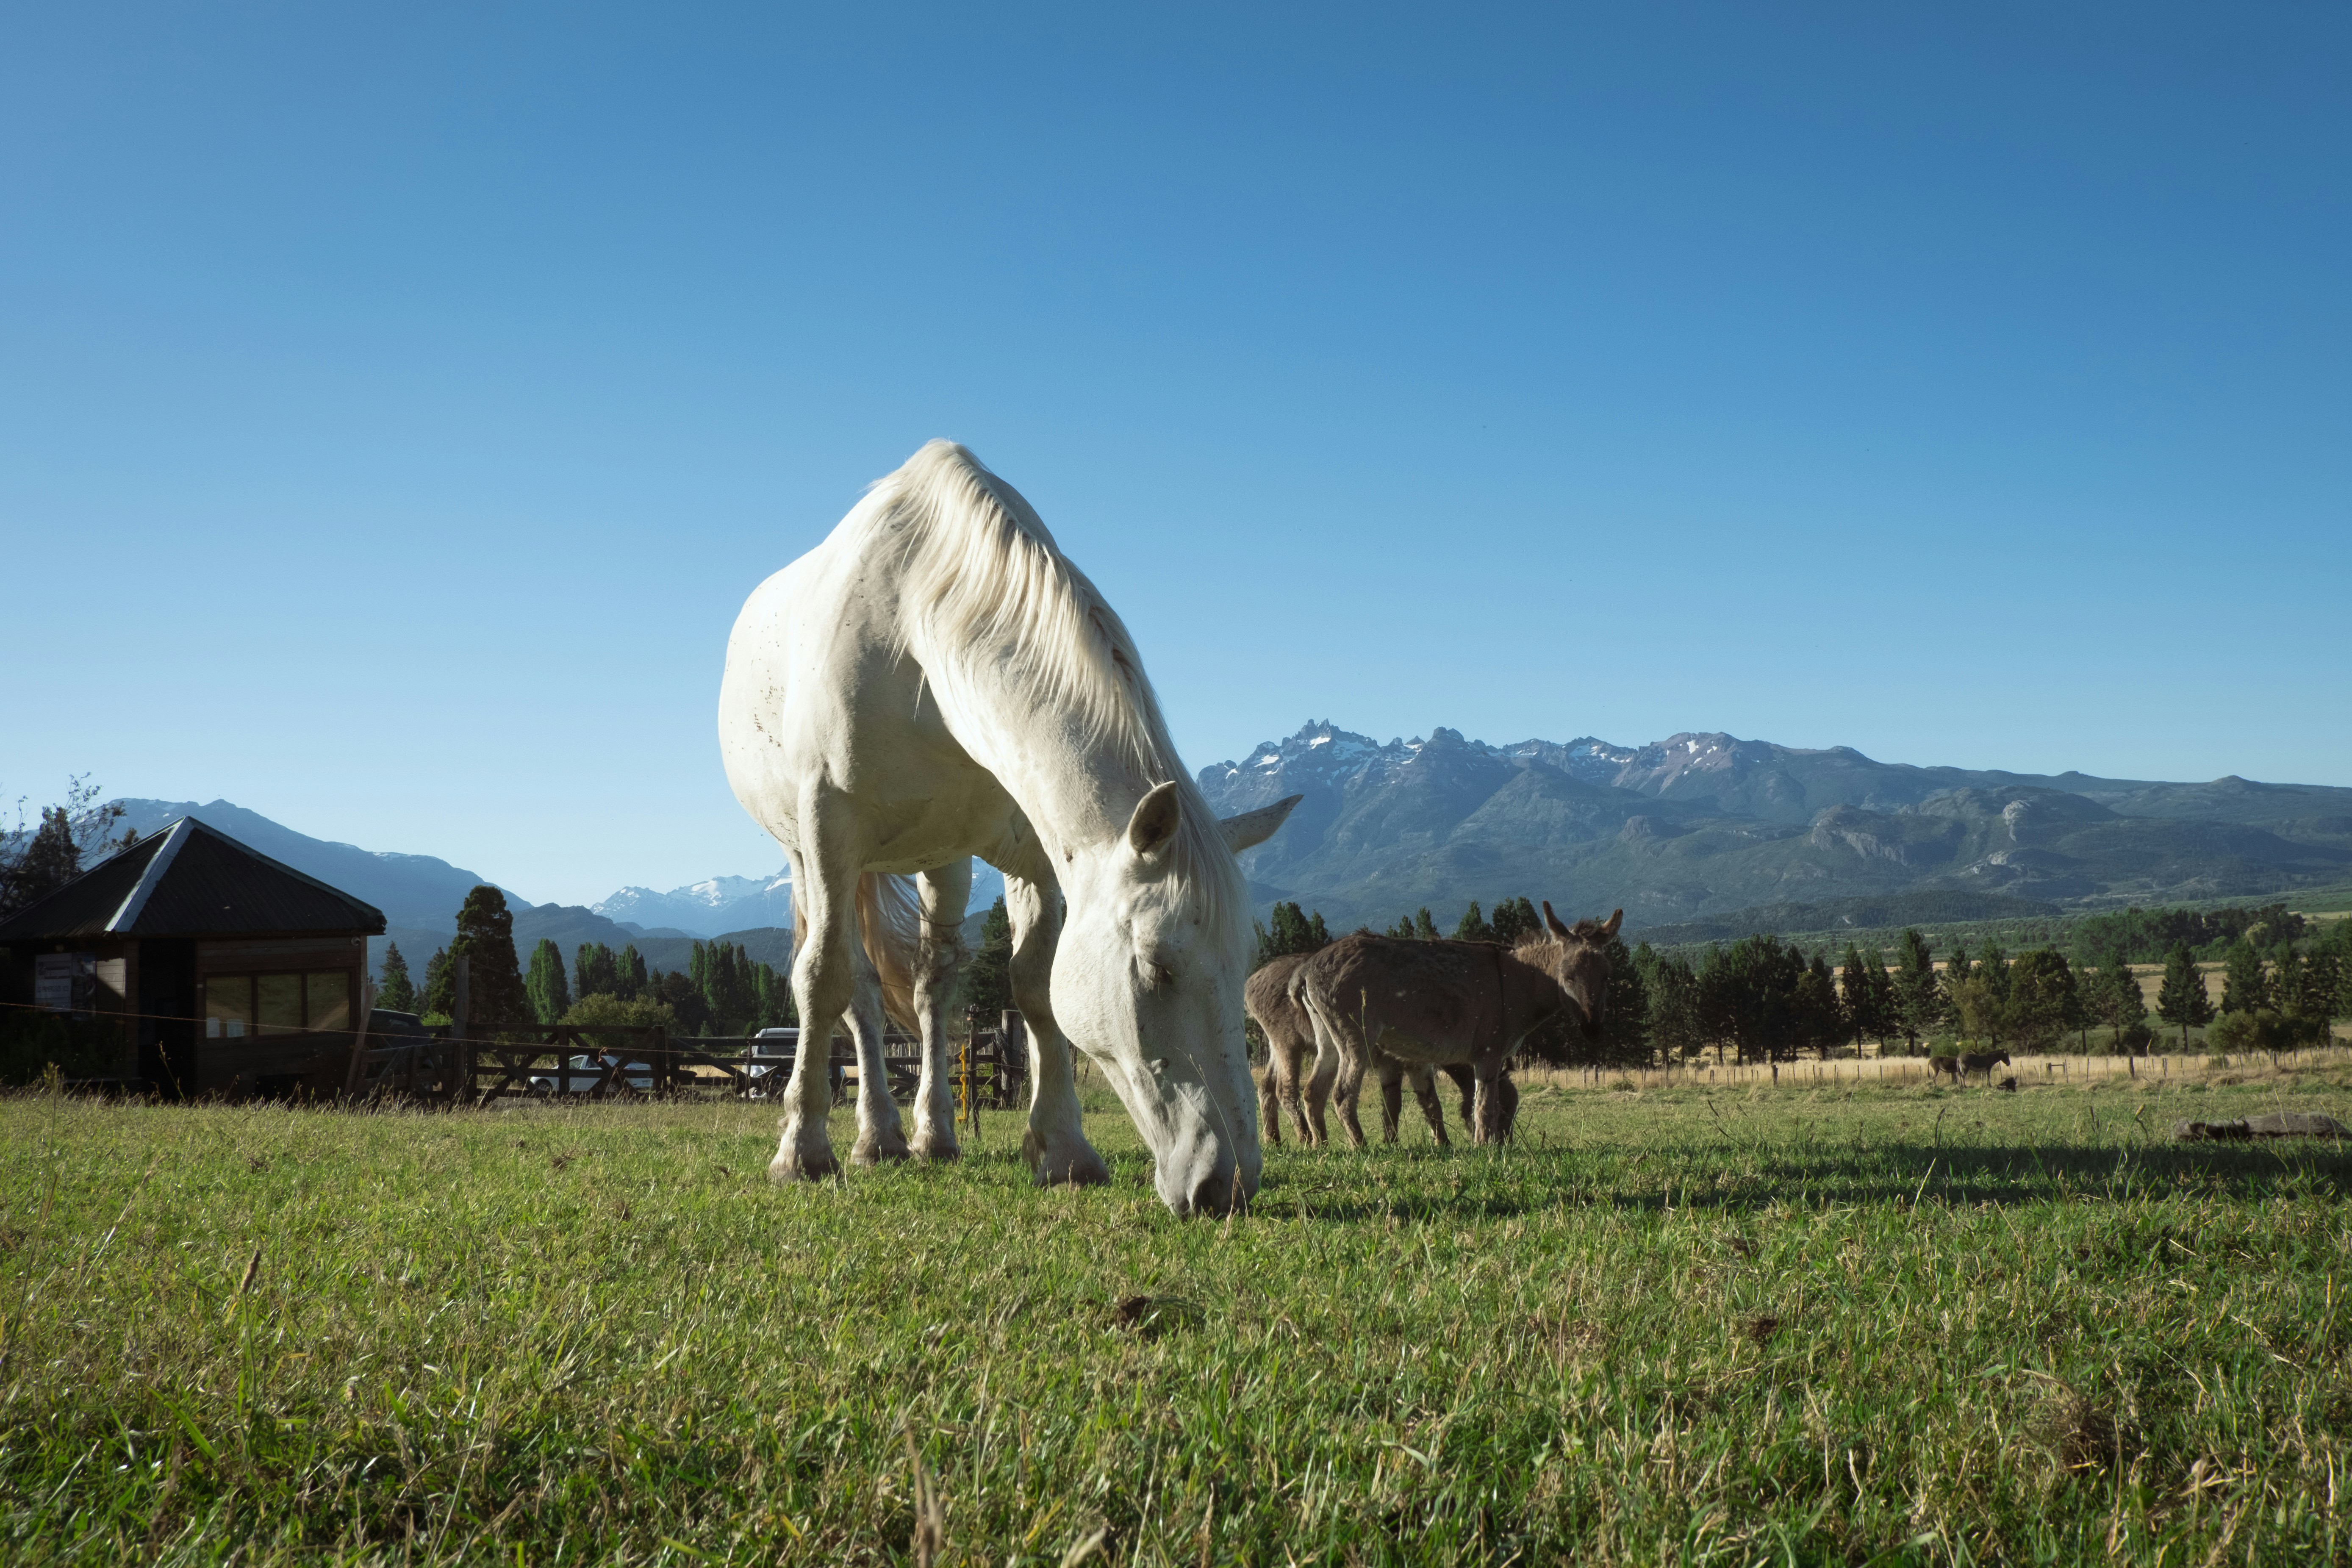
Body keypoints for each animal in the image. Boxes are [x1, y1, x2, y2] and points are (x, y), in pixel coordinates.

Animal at [719, 441, 1301, 1215]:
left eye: (1241, 966)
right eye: (1156, 967)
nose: (1225, 1187)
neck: (913, 631)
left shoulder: (1034, 856)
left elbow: (1034, 987)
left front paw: (1064, 1150)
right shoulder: (826, 831)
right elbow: (821, 978)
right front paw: (801, 1153)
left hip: (943, 861)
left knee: (933, 989)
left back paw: (934, 1136)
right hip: (808, 858)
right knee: (859, 992)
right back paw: (876, 1139)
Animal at [1298, 906, 1619, 1147]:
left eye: (1607, 976)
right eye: (1568, 977)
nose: (1593, 1030)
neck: (1520, 980)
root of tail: (1308, 967)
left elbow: (1442, 1103)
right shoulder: (1489, 1052)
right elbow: (1484, 1104)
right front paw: (1483, 1148)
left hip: (1329, 1041)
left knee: (1313, 1091)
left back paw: (1322, 1147)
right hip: (1358, 1039)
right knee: (1342, 1094)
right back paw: (1361, 1147)